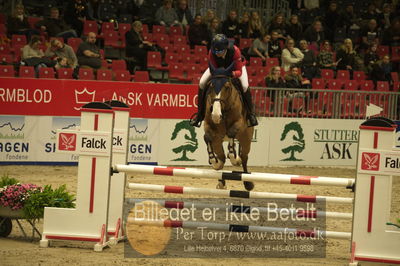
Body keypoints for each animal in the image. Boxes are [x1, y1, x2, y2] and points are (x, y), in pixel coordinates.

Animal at [205, 62, 255, 191]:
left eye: (227, 87)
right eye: (210, 86)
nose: (216, 115)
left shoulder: (239, 123)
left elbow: (232, 133)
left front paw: (234, 157)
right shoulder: (209, 127)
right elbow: (207, 138)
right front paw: (214, 161)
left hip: (246, 138)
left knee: (244, 157)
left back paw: (248, 183)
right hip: (218, 141)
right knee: (222, 157)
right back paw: (221, 181)